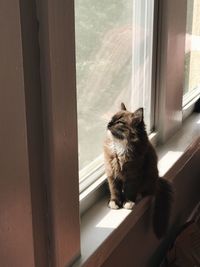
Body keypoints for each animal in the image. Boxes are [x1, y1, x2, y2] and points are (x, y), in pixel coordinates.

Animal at [104, 103, 173, 240]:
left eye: (119, 122)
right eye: (112, 119)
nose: (108, 123)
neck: (120, 146)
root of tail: (158, 180)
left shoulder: (133, 175)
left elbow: (129, 191)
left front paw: (128, 202)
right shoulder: (112, 175)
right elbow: (115, 191)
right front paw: (115, 202)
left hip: (148, 178)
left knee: (146, 191)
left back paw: (139, 196)